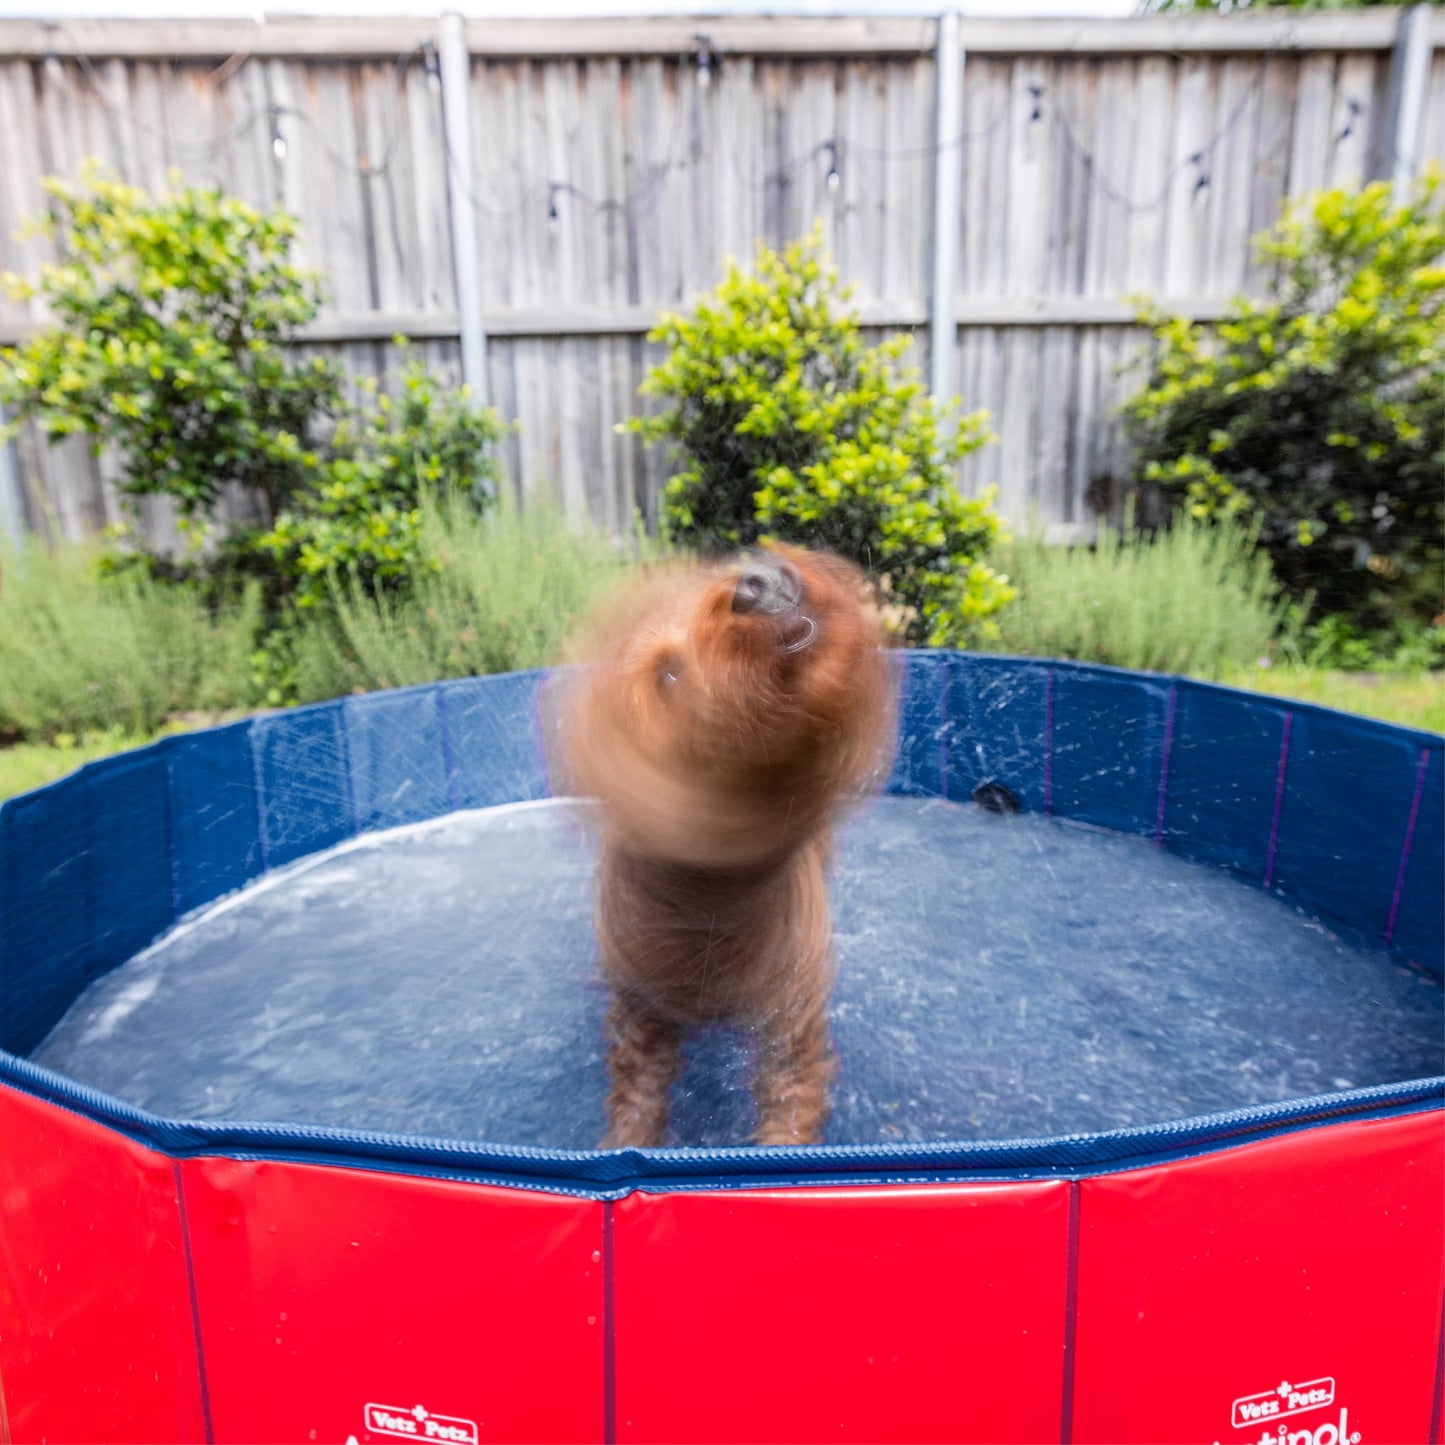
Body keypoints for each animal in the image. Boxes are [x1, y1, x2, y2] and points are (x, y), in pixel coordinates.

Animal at [551, 543, 890, 1150]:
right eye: (668, 674)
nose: (757, 578)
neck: (718, 905)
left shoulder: (790, 1024)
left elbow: (788, 1110)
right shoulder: (644, 1017)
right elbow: (636, 1104)